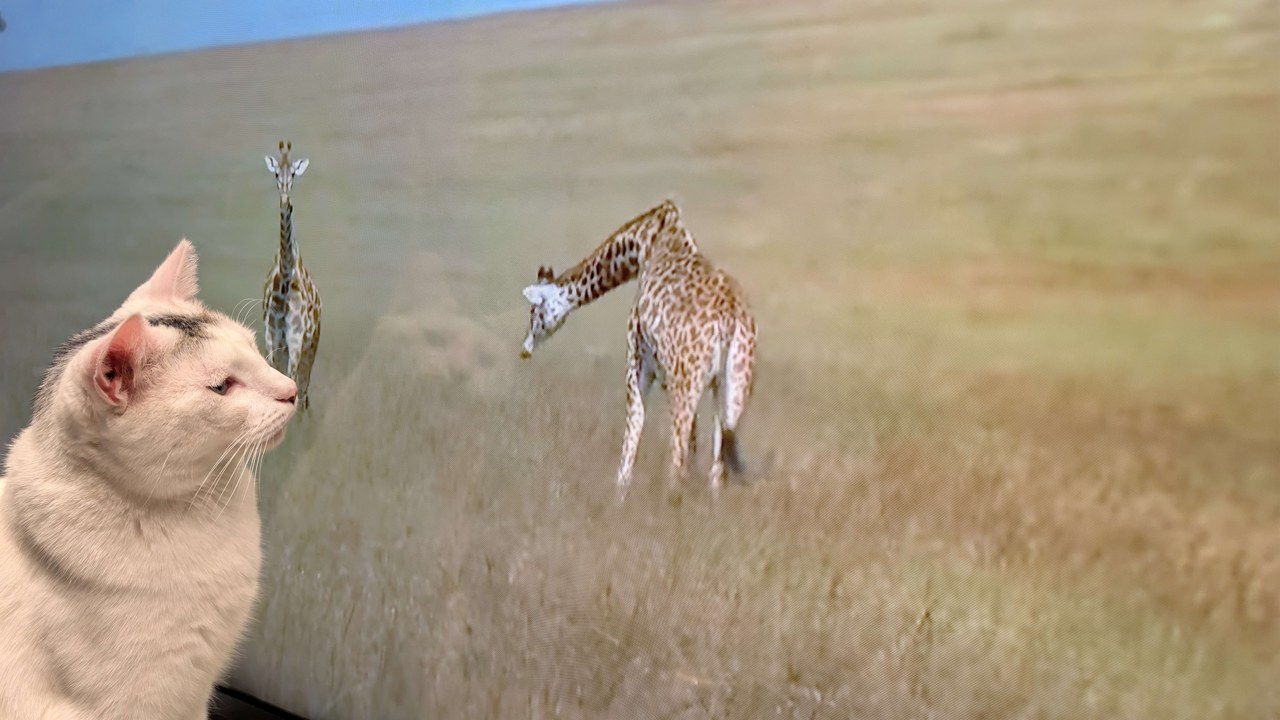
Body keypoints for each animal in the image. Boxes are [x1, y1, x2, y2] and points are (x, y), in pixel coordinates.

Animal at [521, 200, 757, 499]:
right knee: (719, 458)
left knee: (677, 454)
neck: (645, 242)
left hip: (687, 382)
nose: (524, 349)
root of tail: (730, 317)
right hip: (735, 383)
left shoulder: (639, 358)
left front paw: (619, 497)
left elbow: (635, 423)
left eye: (534, 311)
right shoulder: (699, 380)